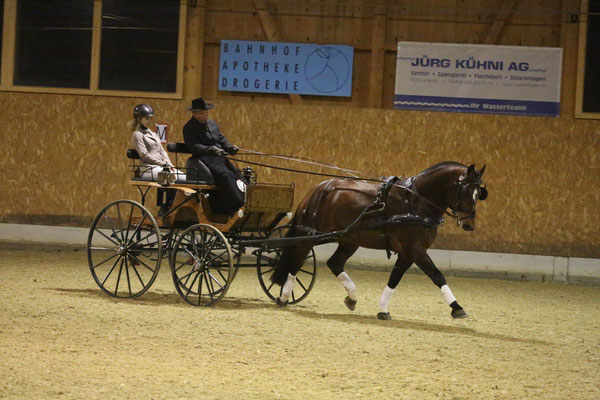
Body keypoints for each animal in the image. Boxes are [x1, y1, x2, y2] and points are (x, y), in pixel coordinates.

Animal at [270, 161, 488, 320]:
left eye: (479, 193)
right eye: (465, 191)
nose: (469, 225)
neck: (415, 203)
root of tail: (318, 189)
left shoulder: (408, 253)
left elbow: (394, 279)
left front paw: (383, 309)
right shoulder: (415, 249)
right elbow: (437, 275)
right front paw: (457, 307)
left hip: (349, 239)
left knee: (334, 263)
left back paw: (352, 297)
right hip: (310, 235)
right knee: (296, 262)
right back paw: (283, 297)